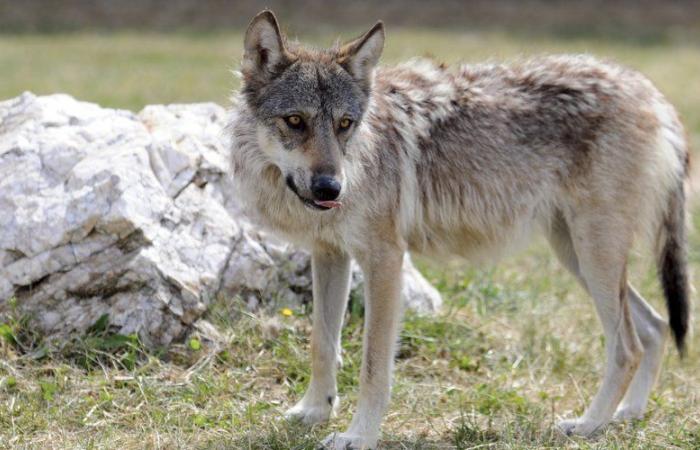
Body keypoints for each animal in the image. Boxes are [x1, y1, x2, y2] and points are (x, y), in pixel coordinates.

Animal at [228, 10, 688, 450]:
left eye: (344, 124)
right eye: (295, 121)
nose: (331, 188)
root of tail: (648, 91)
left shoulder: (384, 261)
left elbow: (373, 366)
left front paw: (358, 436)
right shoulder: (330, 254)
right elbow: (323, 344)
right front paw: (314, 411)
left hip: (593, 255)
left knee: (627, 347)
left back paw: (589, 425)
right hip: (577, 255)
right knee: (655, 327)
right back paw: (627, 414)